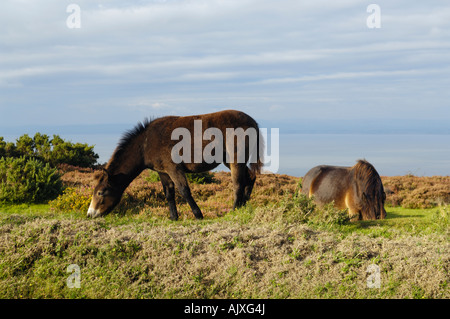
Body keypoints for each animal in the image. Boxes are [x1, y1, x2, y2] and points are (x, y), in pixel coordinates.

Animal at [87, 110, 264, 220]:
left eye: (101, 192)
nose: (90, 214)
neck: (145, 144)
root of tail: (253, 122)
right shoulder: (163, 172)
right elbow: (169, 193)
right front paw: (173, 217)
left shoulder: (174, 168)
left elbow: (184, 190)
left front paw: (198, 215)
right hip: (229, 160)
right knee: (250, 178)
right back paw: (244, 206)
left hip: (235, 158)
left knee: (238, 183)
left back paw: (234, 210)